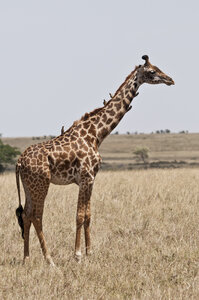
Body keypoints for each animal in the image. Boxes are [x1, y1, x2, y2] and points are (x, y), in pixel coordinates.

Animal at [15, 55, 174, 264]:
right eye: (152, 71)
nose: (170, 80)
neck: (96, 134)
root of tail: (19, 162)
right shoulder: (86, 177)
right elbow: (79, 215)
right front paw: (77, 255)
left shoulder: (91, 180)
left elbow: (88, 215)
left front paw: (90, 252)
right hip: (41, 183)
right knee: (37, 216)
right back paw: (49, 260)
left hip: (28, 186)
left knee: (26, 215)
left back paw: (26, 258)